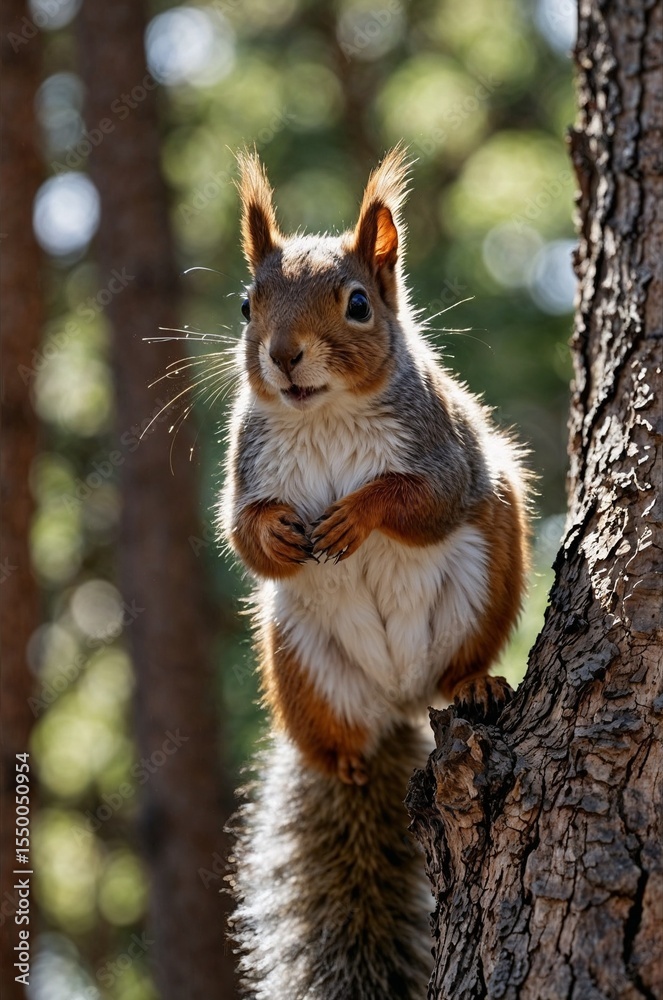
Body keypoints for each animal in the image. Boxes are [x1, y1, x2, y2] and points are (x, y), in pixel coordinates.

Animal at [221, 146, 530, 1000]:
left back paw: (473, 684)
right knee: (336, 743)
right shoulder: (244, 469)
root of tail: (395, 705)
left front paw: (357, 515)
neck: (321, 414)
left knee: (457, 669)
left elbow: (418, 502)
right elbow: (241, 537)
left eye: (357, 304)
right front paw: (277, 533)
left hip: (480, 586)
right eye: (247, 304)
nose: (284, 356)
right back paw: (347, 762)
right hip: (297, 656)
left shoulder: (446, 453)